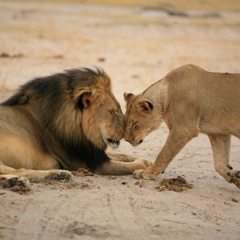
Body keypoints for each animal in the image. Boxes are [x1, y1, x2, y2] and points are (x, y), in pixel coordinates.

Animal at [0, 67, 152, 188]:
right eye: (113, 112)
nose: (127, 132)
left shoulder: (88, 150)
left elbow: (122, 155)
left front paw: (146, 159)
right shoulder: (90, 163)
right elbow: (132, 165)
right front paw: (146, 163)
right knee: (17, 170)